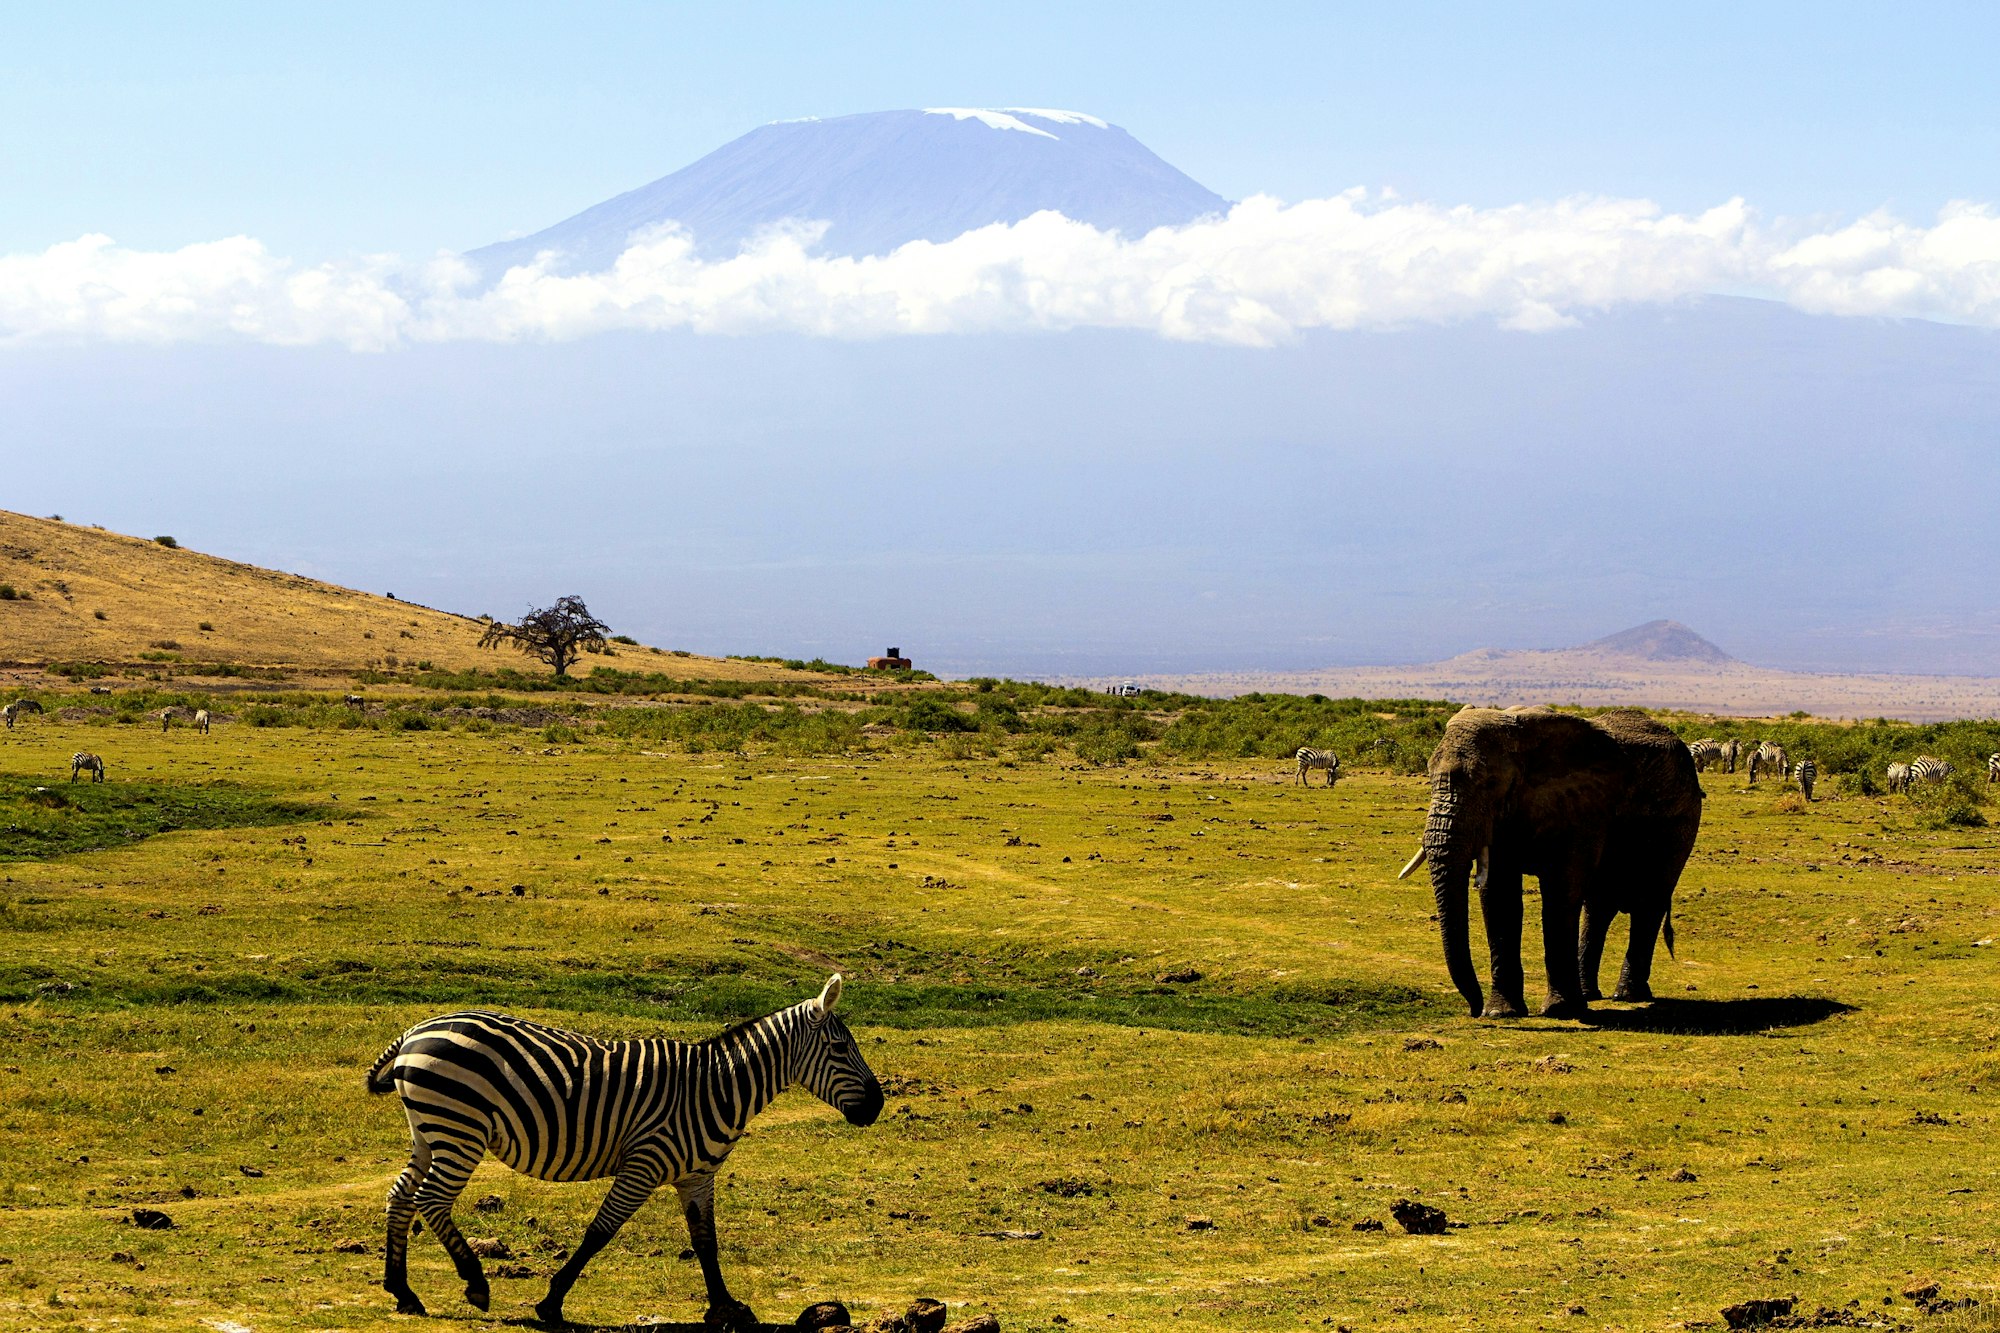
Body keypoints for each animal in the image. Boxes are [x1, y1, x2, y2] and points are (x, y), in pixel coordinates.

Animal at [368, 972, 884, 1320]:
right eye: (841, 1048)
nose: (878, 1105)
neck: (715, 1088)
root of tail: (417, 1030)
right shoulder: (643, 1165)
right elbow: (599, 1232)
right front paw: (551, 1302)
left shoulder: (697, 1177)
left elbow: (706, 1242)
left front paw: (724, 1306)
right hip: (461, 1129)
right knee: (431, 1200)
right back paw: (475, 1284)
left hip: (430, 1131)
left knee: (401, 1197)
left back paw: (403, 1292)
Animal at [1392, 704, 1704, 1016]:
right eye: (1430, 777)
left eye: (1490, 783)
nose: (1473, 1009)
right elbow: (1499, 896)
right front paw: (1502, 1012)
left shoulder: (1582, 806)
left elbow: (1561, 891)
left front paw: (1559, 1010)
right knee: (1598, 907)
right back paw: (1591, 995)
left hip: (1681, 823)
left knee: (1649, 903)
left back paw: (1627, 995)